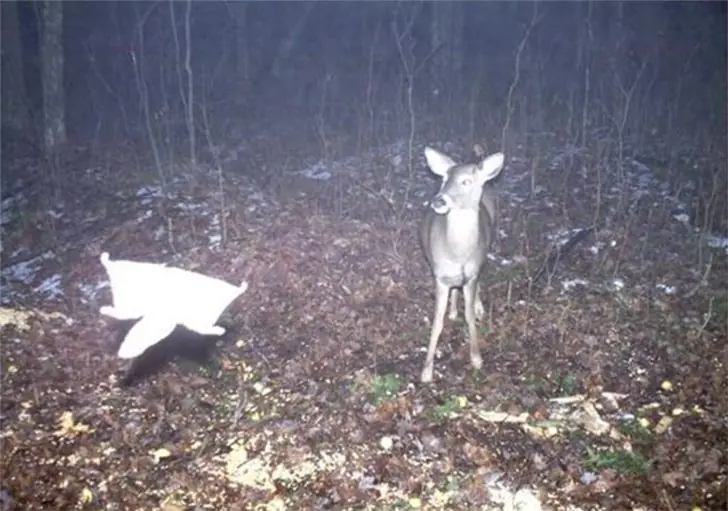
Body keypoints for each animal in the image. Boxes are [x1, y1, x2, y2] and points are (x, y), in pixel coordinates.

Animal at [418, 146, 505, 383]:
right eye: (444, 179)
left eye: (466, 181)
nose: (439, 201)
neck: (457, 254)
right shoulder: (439, 276)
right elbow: (437, 321)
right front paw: (426, 370)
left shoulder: (472, 275)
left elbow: (469, 316)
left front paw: (476, 359)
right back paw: (453, 309)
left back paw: (478, 307)